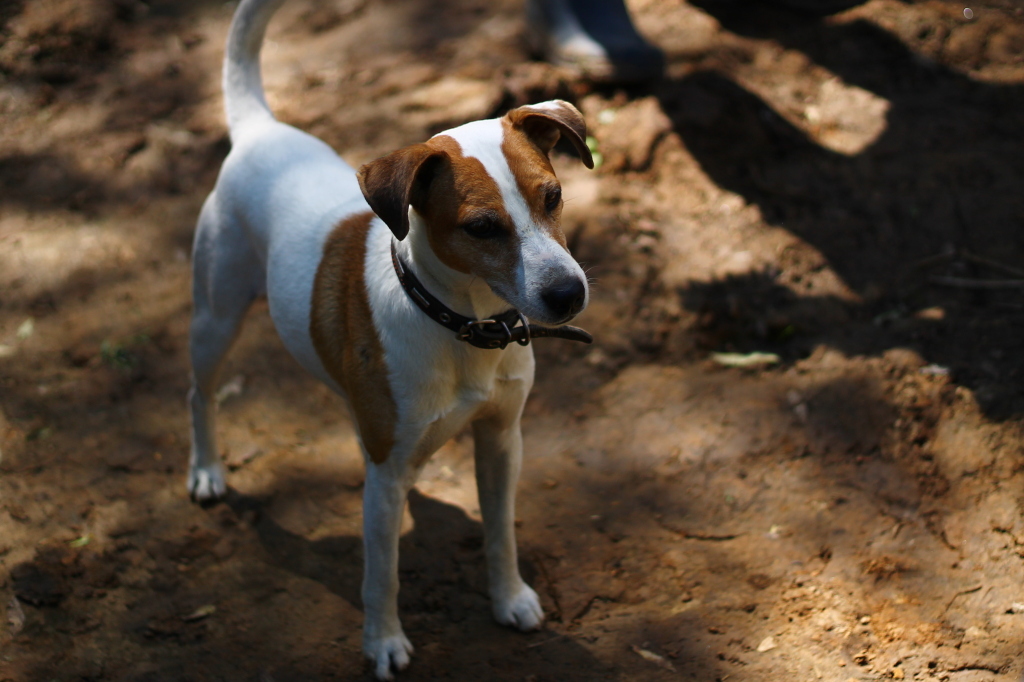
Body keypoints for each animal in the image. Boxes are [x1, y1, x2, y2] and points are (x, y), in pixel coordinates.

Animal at [188, 0, 598, 675]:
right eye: (482, 228)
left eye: (554, 196)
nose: (568, 294)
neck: (461, 326)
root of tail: (259, 131)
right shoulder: (381, 482)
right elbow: (382, 574)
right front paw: (382, 642)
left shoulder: (501, 439)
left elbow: (500, 532)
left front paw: (509, 597)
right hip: (214, 316)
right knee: (200, 393)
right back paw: (205, 471)